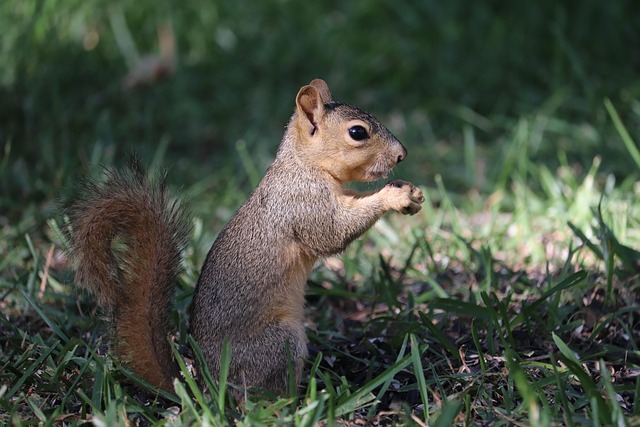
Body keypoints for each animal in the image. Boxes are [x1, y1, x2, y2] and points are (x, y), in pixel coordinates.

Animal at [66, 79, 424, 397]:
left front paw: (410, 192)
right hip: (279, 341)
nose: (403, 154)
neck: (305, 165)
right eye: (357, 132)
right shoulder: (301, 203)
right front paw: (392, 197)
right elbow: (332, 233)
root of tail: (210, 388)